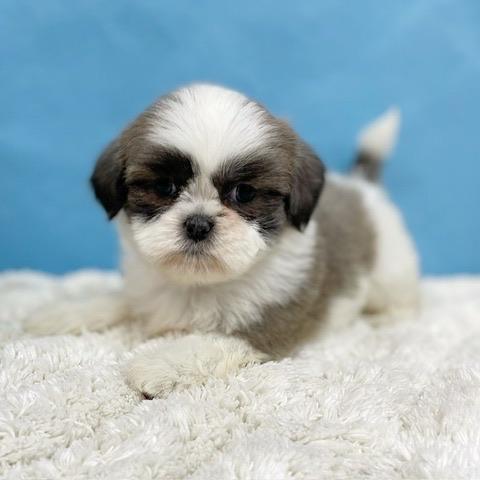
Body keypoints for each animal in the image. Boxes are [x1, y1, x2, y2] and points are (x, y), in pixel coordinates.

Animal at [26, 84, 419, 398]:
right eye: (164, 187)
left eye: (243, 193)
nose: (198, 224)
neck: (198, 284)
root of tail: (361, 185)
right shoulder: (147, 290)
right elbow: (122, 300)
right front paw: (64, 312)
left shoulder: (271, 319)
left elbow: (213, 341)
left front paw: (159, 363)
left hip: (391, 271)